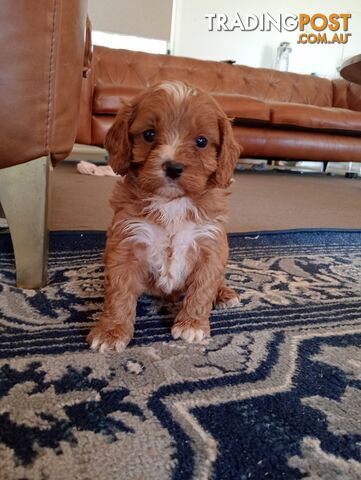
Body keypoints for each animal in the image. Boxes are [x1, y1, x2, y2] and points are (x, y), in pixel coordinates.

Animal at [86, 80, 239, 352]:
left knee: (217, 280)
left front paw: (192, 324)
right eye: (149, 134)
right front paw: (111, 331)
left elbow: (203, 287)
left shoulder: (210, 244)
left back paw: (224, 293)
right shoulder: (126, 242)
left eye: (201, 141)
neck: (171, 202)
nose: (173, 167)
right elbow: (118, 293)